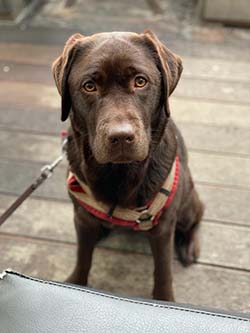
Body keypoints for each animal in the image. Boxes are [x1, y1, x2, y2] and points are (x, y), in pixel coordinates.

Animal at [52, 30, 203, 300]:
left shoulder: (163, 226)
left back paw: (189, 245)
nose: (121, 136)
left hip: (186, 200)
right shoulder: (82, 218)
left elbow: (163, 270)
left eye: (140, 81)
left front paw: (165, 299)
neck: (118, 173)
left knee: (198, 214)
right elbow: (83, 256)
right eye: (89, 86)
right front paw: (76, 282)